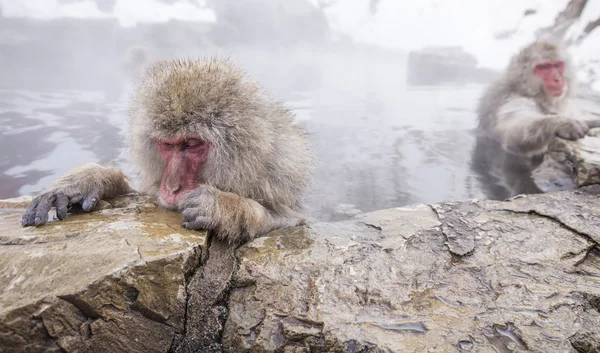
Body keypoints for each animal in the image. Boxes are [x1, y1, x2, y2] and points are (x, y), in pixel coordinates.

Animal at [21, 58, 314, 245]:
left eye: (192, 144)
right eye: (167, 144)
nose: (172, 187)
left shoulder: (279, 174)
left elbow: (292, 220)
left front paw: (225, 208)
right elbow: (139, 192)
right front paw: (86, 181)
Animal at [472, 40, 600, 199]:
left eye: (557, 65)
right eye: (543, 68)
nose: (557, 79)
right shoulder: (514, 102)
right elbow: (515, 133)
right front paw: (562, 123)